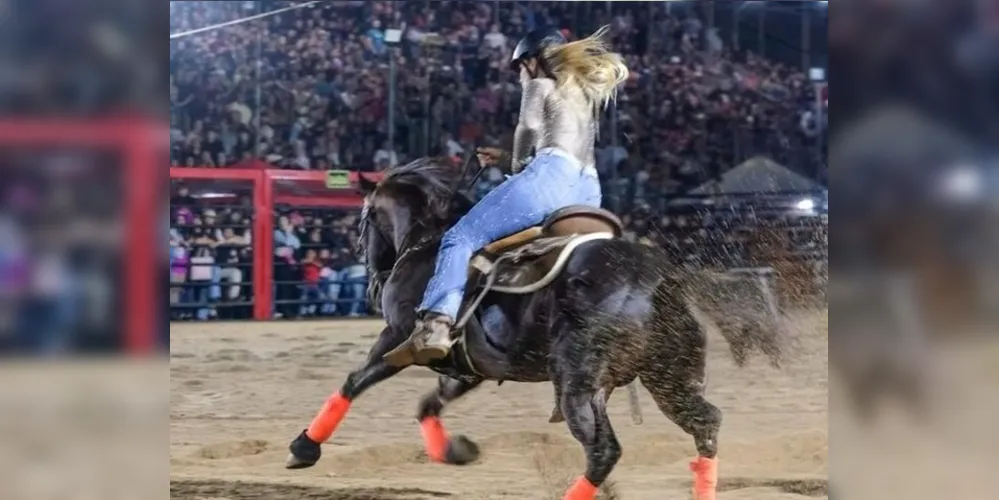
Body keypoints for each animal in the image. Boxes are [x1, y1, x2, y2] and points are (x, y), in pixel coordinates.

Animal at [286, 159, 784, 500]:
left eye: (365, 217)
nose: (373, 274)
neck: (429, 244)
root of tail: (658, 277)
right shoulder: (470, 367)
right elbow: (429, 403)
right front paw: (454, 451)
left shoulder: (398, 337)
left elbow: (356, 381)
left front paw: (304, 447)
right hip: (668, 379)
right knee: (705, 424)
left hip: (578, 386)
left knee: (604, 451)